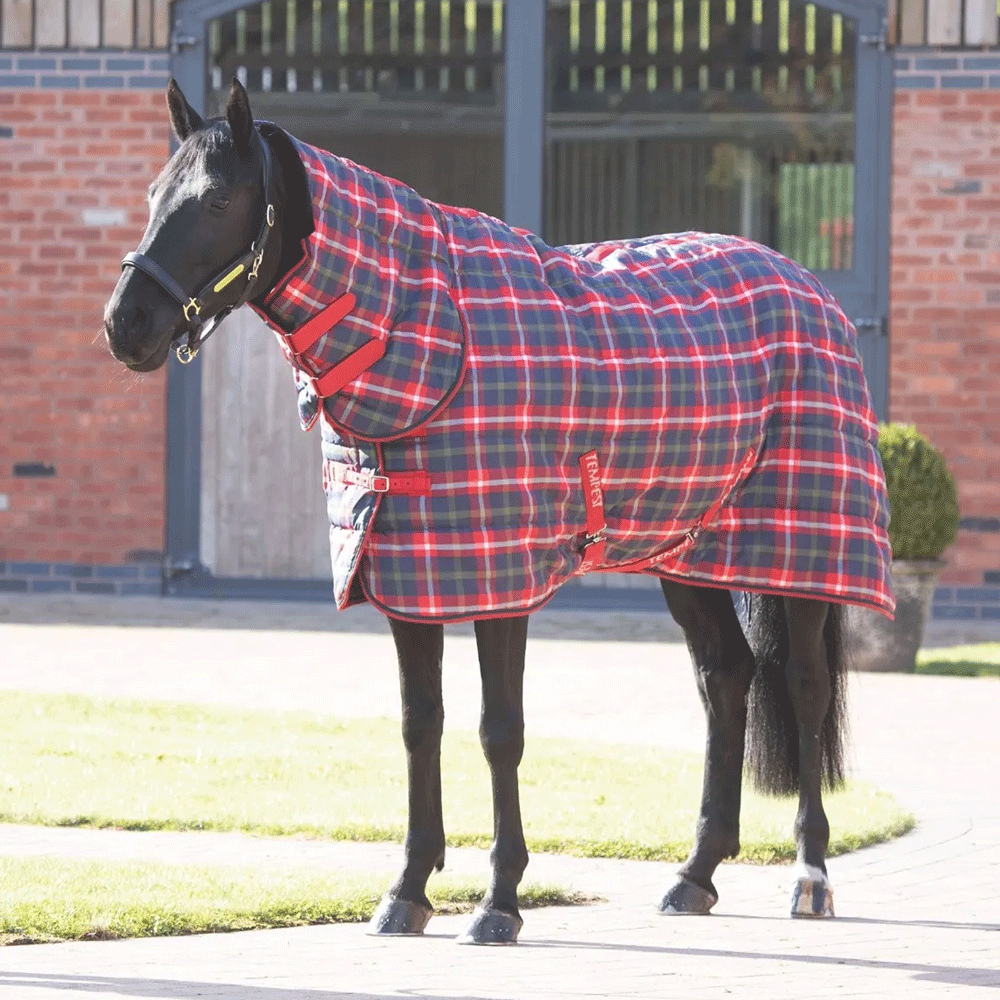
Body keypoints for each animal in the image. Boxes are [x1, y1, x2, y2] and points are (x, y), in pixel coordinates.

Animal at [103, 80, 892, 944]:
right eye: (153, 193)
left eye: (215, 200)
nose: (125, 324)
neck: (428, 338)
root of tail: (808, 288)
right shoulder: (406, 573)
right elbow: (421, 724)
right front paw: (407, 892)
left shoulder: (500, 581)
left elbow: (498, 731)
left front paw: (498, 902)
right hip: (686, 554)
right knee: (726, 678)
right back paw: (694, 875)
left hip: (807, 553)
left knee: (806, 685)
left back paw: (810, 876)